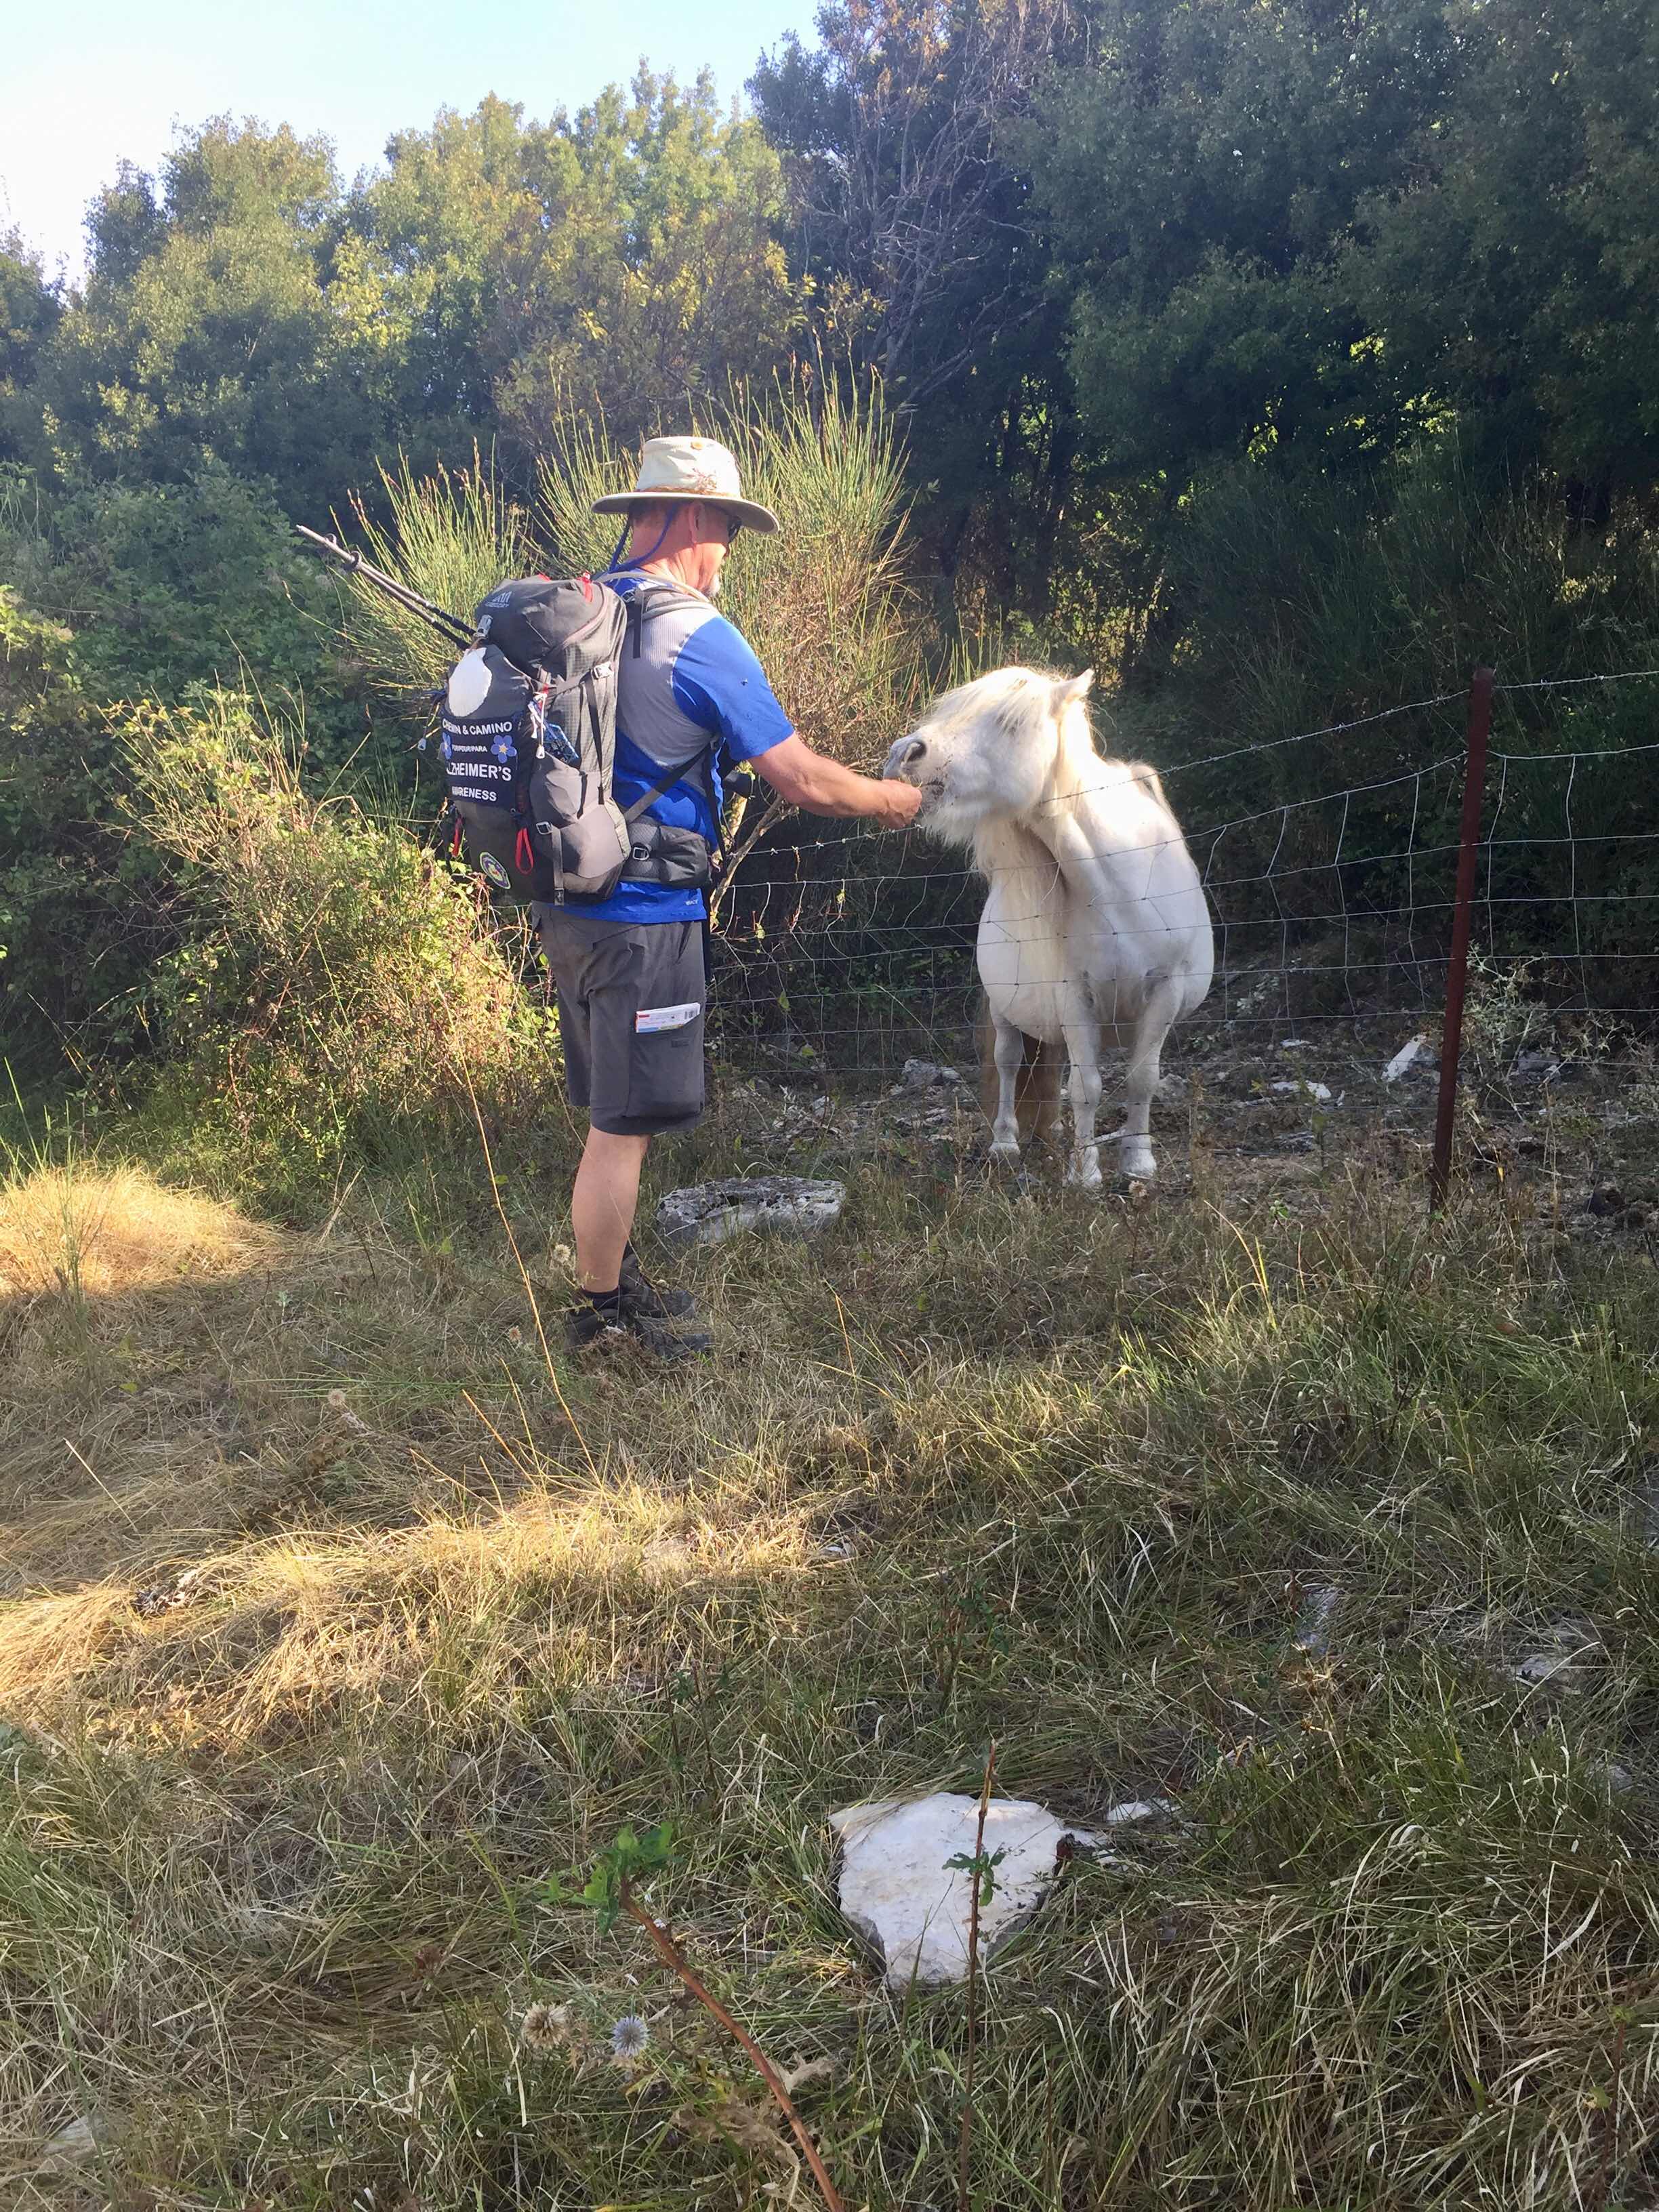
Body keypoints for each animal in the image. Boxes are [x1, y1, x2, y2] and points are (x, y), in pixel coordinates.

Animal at [881, 666, 1213, 1184]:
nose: (904, 754)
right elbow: (1086, 1087)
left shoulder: (1165, 990)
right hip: (1007, 1011)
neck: (1121, 886)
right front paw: (1086, 1174)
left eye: (1012, 723)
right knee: (1009, 1062)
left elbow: (1142, 1079)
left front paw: (1138, 1164)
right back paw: (1005, 1144)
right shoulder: (1076, 997)